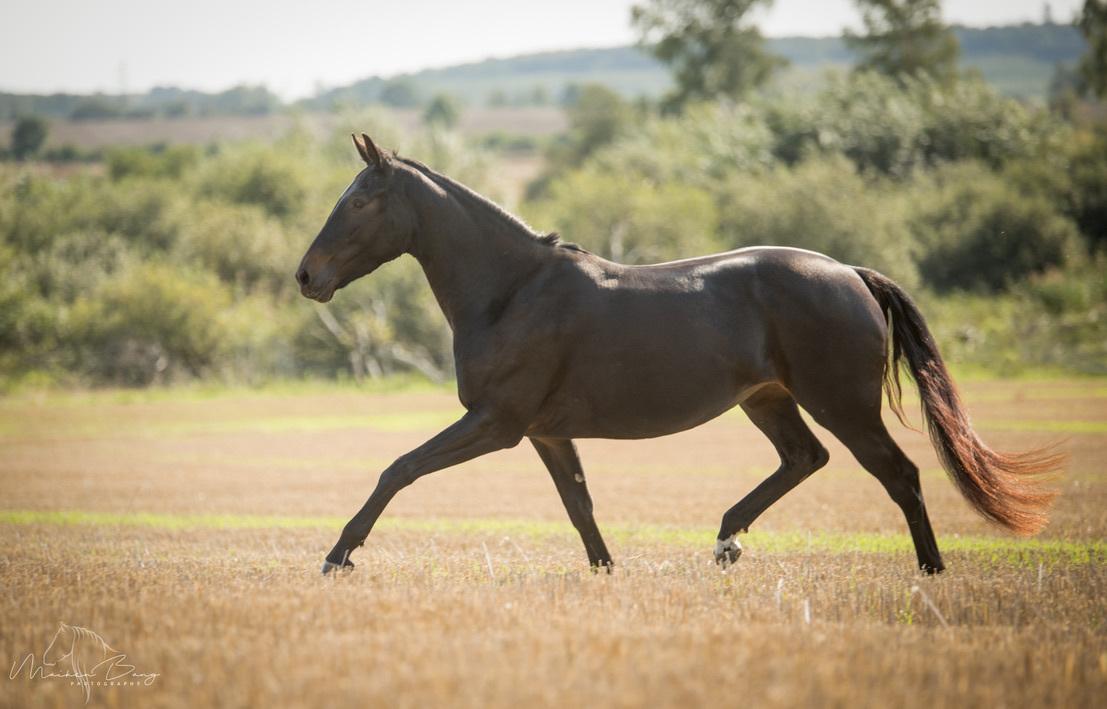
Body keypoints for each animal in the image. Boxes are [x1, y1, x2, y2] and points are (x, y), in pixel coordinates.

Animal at [296, 132, 1062, 576]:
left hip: (841, 403)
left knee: (898, 474)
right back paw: (726, 541)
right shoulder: (543, 432)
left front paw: (338, 556)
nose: (306, 276)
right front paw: (607, 573)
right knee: (804, 459)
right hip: (768, 400)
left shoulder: (497, 423)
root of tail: (849, 273)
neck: (513, 291)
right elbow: (579, 505)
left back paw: (930, 572)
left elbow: (399, 468)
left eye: (360, 200)